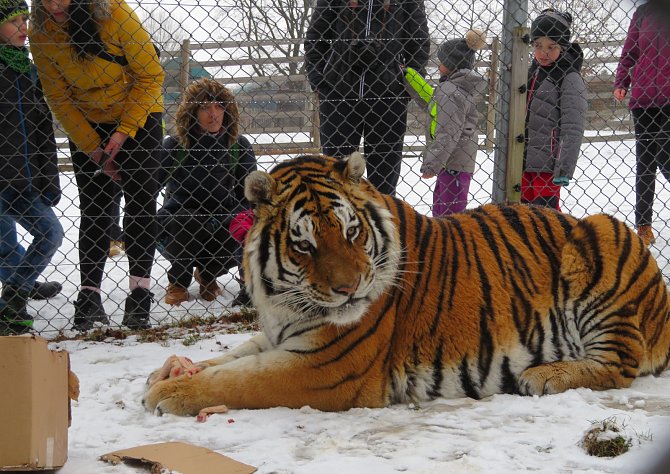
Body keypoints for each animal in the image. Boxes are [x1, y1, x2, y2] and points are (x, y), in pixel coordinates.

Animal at [142, 153, 670, 414]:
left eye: (351, 232)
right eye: (305, 245)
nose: (350, 290)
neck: (285, 301)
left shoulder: (325, 368)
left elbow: (241, 379)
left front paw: (169, 393)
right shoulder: (278, 335)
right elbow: (231, 358)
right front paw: (169, 371)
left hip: (603, 236)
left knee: (620, 365)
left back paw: (544, 375)